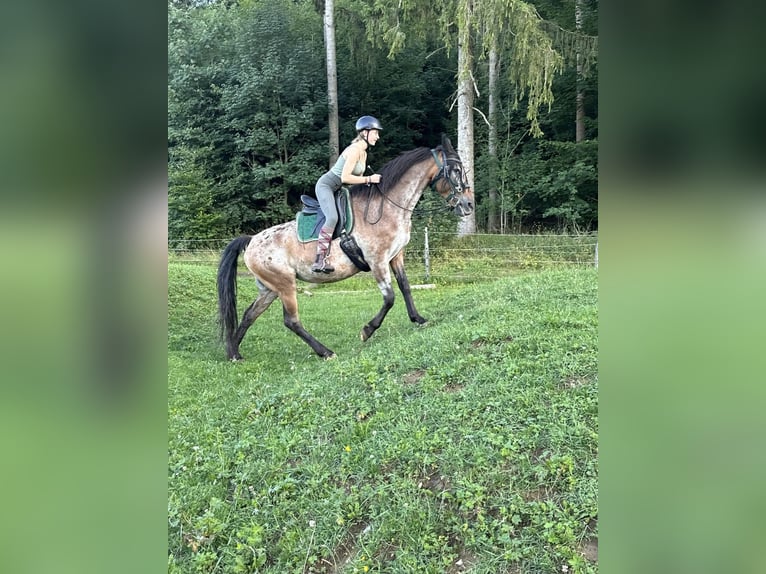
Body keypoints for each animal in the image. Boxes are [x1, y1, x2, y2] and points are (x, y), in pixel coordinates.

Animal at [216, 133, 474, 360]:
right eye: (456, 170)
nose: (469, 204)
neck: (387, 207)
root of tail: (251, 241)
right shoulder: (377, 260)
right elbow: (389, 297)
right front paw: (367, 330)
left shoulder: (395, 256)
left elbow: (405, 288)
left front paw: (418, 319)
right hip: (285, 284)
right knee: (291, 321)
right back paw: (325, 352)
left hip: (270, 288)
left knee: (250, 314)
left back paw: (233, 352)